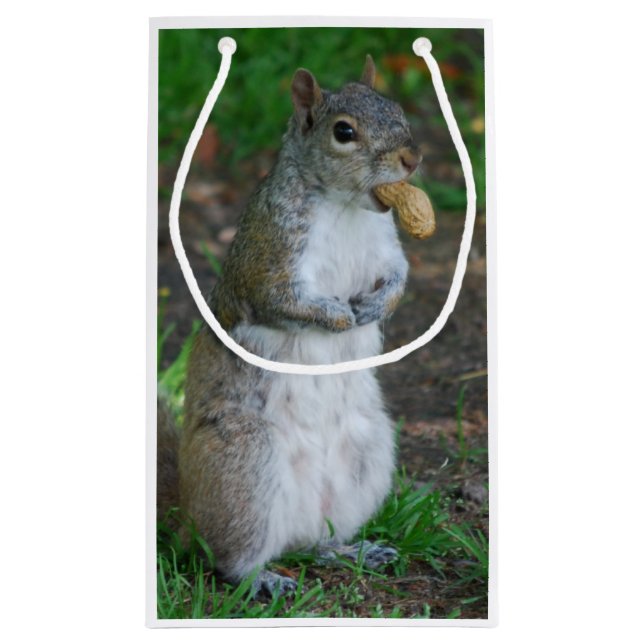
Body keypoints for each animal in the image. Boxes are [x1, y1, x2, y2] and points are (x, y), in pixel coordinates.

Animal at [158, 55, 423, 596]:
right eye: (344, 132)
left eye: (396, 108)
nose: (411, 159)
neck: (346, 209)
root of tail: (188, 512)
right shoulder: (269, 258)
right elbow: (282, 302)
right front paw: (338, 316)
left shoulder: (386, 248)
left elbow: (398, 279)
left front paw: (374, 307)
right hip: (244, 466)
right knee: (230, 558)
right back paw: (262, 579)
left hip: (366, 455)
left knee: (317, 540)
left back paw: (351, 549)